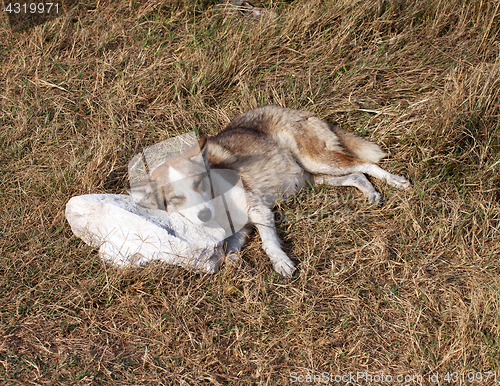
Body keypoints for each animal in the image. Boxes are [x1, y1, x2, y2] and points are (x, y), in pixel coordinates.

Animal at [129, 104, 410, 276]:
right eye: (176, 198)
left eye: (198, 183)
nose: (205, 216)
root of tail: (296, 111)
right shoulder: (242, 228)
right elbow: (230, 249)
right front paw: (232, 263)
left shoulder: (258, 210)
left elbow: (268, 243)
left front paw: (281, 262)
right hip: (315, 178)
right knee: (357, 175)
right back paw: (371, 192)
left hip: (317, 161)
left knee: (366, 164)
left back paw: (395, 181)